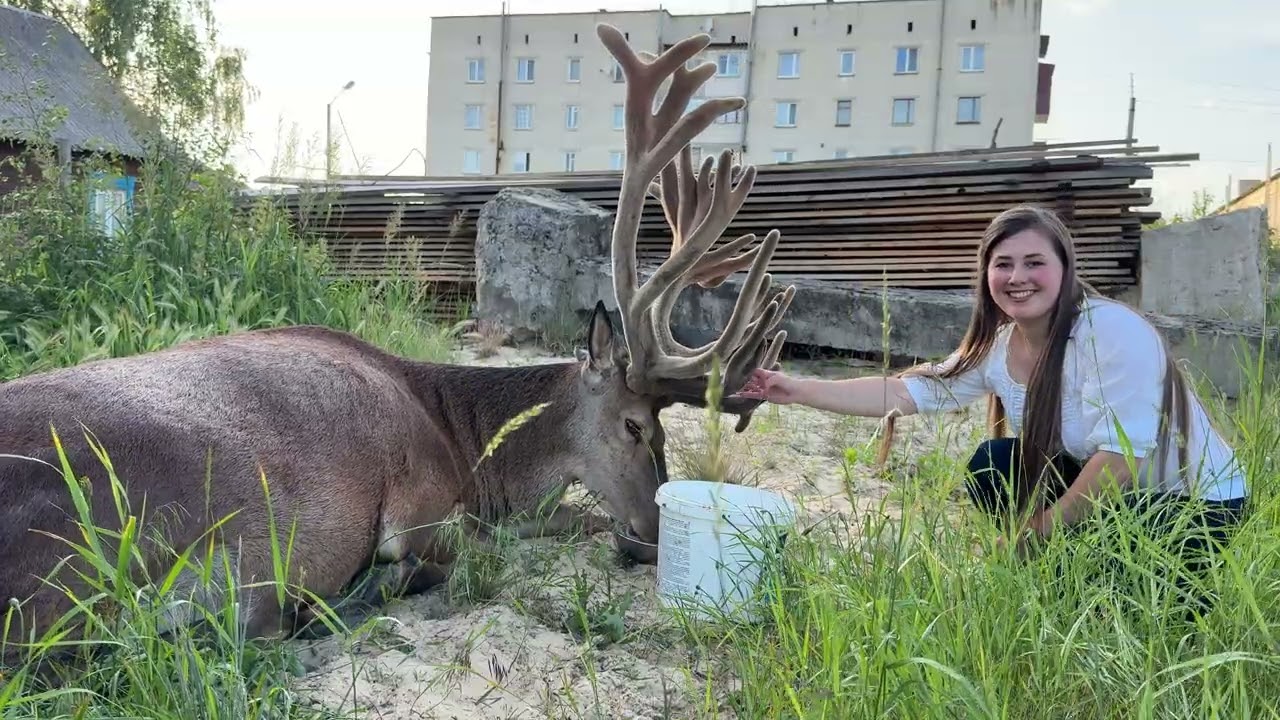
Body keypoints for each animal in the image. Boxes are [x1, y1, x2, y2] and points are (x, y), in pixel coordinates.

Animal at [0, 23, 794, 667]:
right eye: (634, 426)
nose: (653, 535)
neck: (463, 440)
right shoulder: (423, 507)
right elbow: (496, 542)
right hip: (161, 552)